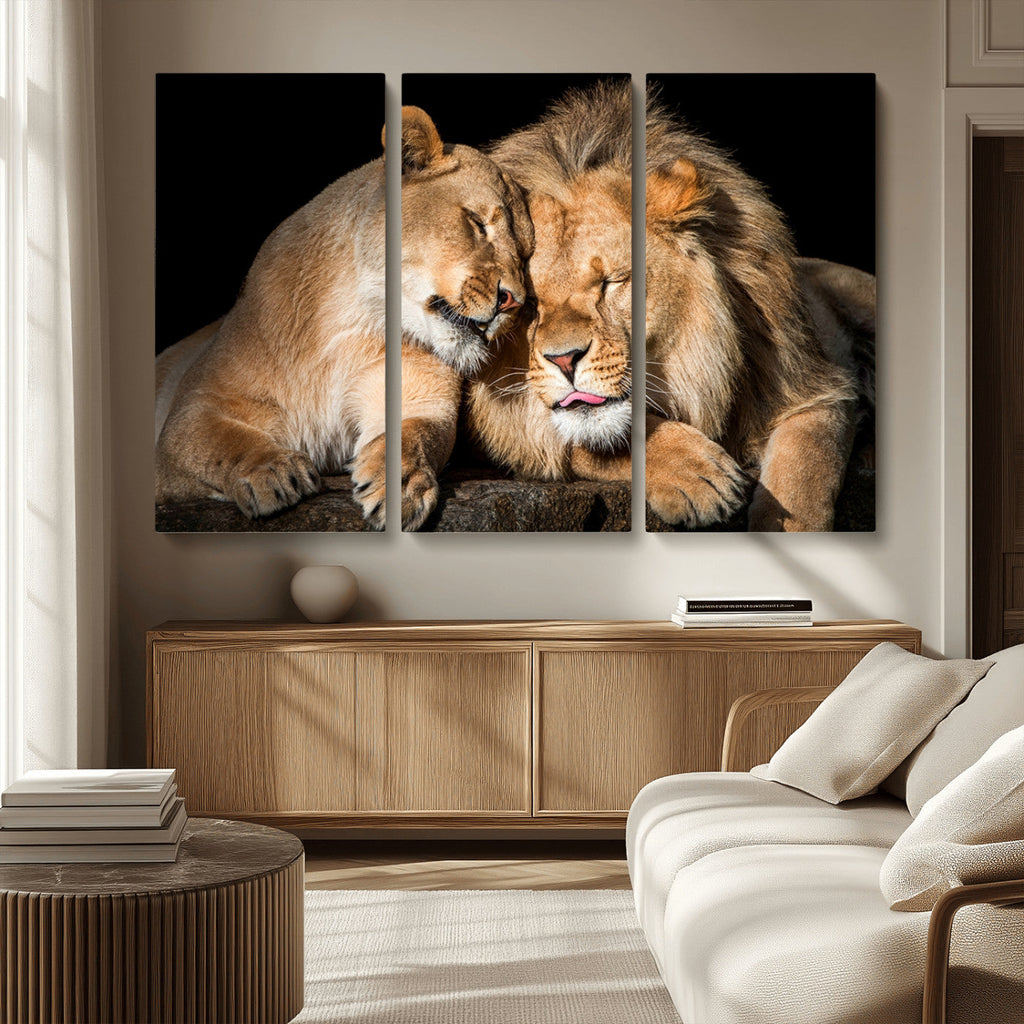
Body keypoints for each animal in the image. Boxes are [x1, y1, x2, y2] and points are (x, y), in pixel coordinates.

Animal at [155, 107, 532, 530]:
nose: (512, 302)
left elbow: (414, 435)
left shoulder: (422, 397)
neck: (354, 321)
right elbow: (219, 441)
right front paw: (272, 472)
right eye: (477, 223)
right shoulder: (193, 410)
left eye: (525, 255)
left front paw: (402, 485)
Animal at [465, 81, 867, 532]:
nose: (564, 360)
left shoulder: (814, 387)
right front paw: (697, 475)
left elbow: (803, 479)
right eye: (530, 301)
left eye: (612, 282)